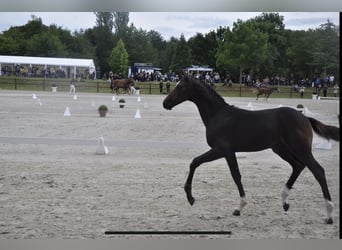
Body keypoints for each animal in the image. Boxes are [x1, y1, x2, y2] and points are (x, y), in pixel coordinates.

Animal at [163, 75, 340, 224]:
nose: (165, 103)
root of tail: (304, 117)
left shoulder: (223, 150)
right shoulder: (226, 151)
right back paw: (285, 202)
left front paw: (236, 206)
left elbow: (229, 173)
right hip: (280, 149)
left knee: (318, 171)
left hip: (301, 149)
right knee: (298, 166)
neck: (219, 115)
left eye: (180, 87)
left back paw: (329, 214)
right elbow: (201, 164)